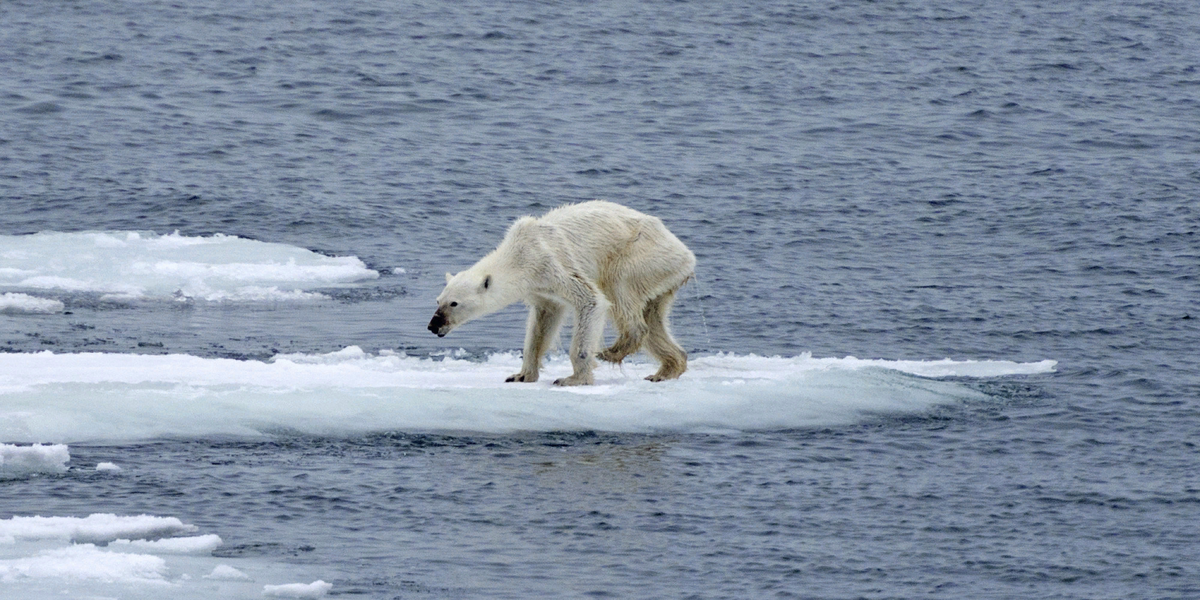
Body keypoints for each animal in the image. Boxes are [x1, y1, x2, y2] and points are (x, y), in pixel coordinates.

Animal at [429, 201, 696, 386]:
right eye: (438, 300)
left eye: (454, 303)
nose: (433, 325)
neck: (519, 254)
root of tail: (687, 254)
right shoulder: (540, 288)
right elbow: (542, 322)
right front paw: (521, 375)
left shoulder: (551, 263)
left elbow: (591, 300)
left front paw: (573, 379)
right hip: (661, 275)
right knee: (654, 318)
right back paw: (666, 370)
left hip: (641, 256)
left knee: (620, 290)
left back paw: (613, 351)